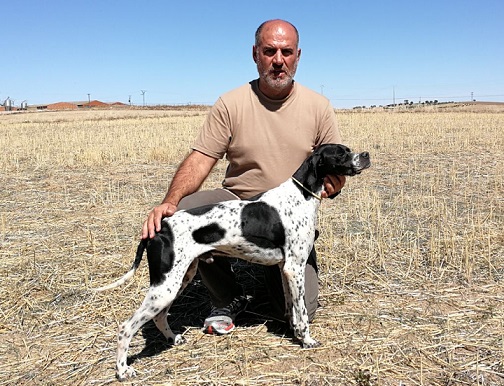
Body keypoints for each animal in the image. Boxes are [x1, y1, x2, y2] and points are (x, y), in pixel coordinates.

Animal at [95, 142, 370, 380]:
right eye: (341, 153)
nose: (366, 155)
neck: (300, 195)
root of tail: (160, 228)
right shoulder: (295, 268)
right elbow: (301, 312)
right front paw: (307, 340)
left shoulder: (286, 270)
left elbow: (292, 308)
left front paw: (294, 333)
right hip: (165, 286)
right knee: (126, 328)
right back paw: (123, 370)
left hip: (178, 280)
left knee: (160, 316)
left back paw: (174, 340)